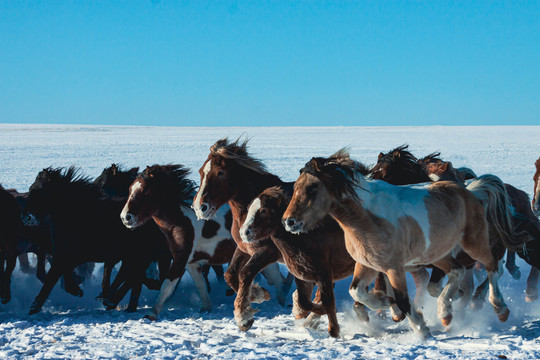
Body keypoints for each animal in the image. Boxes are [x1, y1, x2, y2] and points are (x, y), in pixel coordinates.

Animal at [24, 165, 162, 312]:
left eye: (41, 191)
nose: (26, 217)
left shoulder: (70, 257)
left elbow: (52, 280)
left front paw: (35, 307)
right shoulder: (65, 256)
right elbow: (63, 276)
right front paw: (77, 289)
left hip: (139, 255)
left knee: (134, 276)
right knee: (133, 276)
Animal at [119, 165, 235, 320]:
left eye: (145, 190)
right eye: (130, 189)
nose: (125, 217)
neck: (182, 220)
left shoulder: (181, 257)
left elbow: (167, 285)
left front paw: (151, 313)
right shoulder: (191, 262)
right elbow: (201, 285)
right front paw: (205, 308)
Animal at [193, 139, 296, 332]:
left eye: (220, 172)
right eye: (201, 171)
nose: (200, 207)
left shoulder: (268, 252)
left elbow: (245, 273)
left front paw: (243, 317)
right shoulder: (244, 249)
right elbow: (231, 274)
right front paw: (258, 294)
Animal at [284, 148, 512, 338]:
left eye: (312, 188)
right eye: (295, 188)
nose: (289, 221)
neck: (365, 217)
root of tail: (471, 192)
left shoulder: (394, 267)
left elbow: (403, 300)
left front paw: (422, 331)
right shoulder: (367, 264)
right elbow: (356, 291)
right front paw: (384, 301)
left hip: (473, 244)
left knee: (492, 267)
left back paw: (500, 309)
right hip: (439, 255)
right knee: (457, 272)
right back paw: (445, 314)